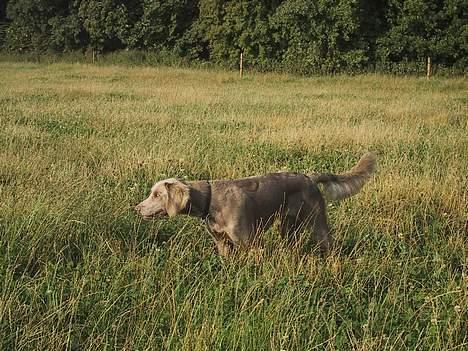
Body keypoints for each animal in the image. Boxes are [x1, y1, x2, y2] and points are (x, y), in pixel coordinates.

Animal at [135, 153, 376, 258]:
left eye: (156, 194)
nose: (136, 208)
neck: (211, 200)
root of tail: (309, 177)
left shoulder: (250, 243)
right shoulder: (222, 243)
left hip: (317, 223)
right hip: (288, 226)